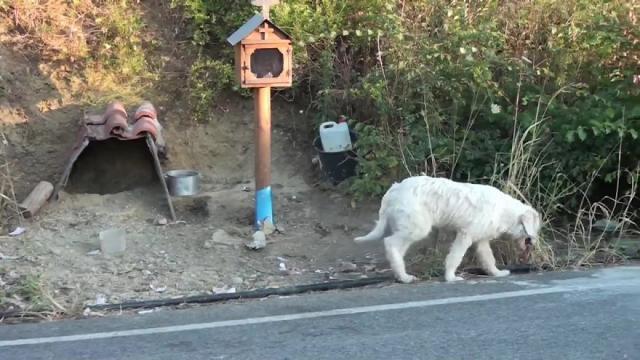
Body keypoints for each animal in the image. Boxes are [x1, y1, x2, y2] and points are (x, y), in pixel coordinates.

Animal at [356, 176, 540, 282]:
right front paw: (451, 277)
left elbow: (488, 259)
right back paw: (404, 277)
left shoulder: (481, 240)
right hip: (417, 227)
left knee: (396, 250)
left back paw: (401, 274)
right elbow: (455, 257)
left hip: (408, 228)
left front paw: (497, 273)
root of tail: (395, 188)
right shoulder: (465, 235)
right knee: (390, 243)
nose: (534, 243)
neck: (504, 211)